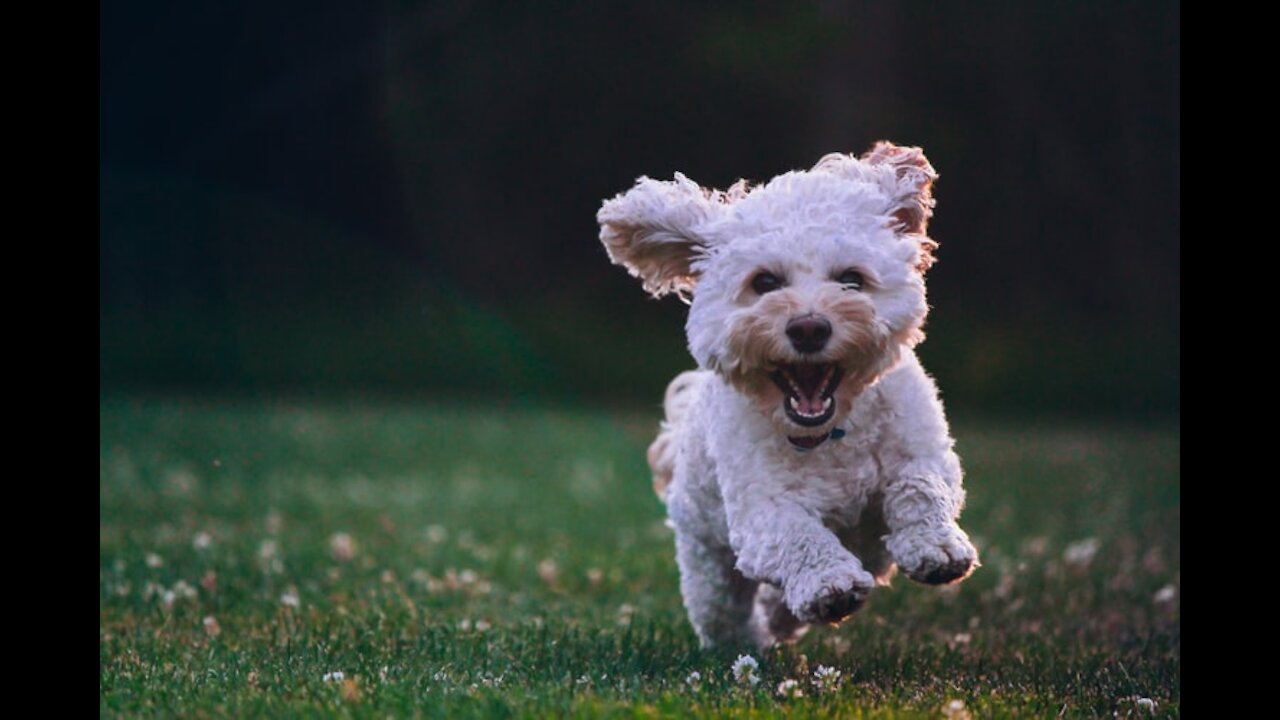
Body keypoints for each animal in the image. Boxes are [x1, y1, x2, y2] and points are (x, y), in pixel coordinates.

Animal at [599, 142, 977, 648]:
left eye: (851, 279)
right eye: (764, 282)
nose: (809, 328)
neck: (832, 433)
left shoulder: (923, 450)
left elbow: (920, 486)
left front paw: (936, 547)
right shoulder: (761, 511)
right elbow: (797, 534)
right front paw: (828, 584)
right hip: (707, 558)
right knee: (722, 609)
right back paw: (749, 640)